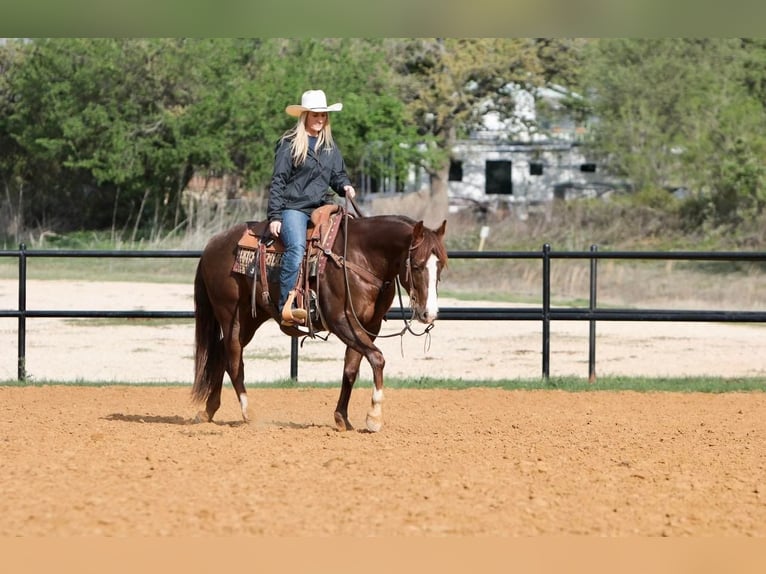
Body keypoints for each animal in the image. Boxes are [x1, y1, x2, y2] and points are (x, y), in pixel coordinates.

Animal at [190, 214, 450, 434]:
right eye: (416, 265)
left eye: (441, 265)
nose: (429, 313)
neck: (361, 256)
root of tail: (213, 244)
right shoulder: (340, 320)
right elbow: (377, 358)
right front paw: (374, 417)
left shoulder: (369, 326)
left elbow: (351, 369)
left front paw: (342, 418)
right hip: (230, 315)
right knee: (234, 361)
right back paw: (247, 413)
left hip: (251, 318)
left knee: (222, 355)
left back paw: (209, 410)